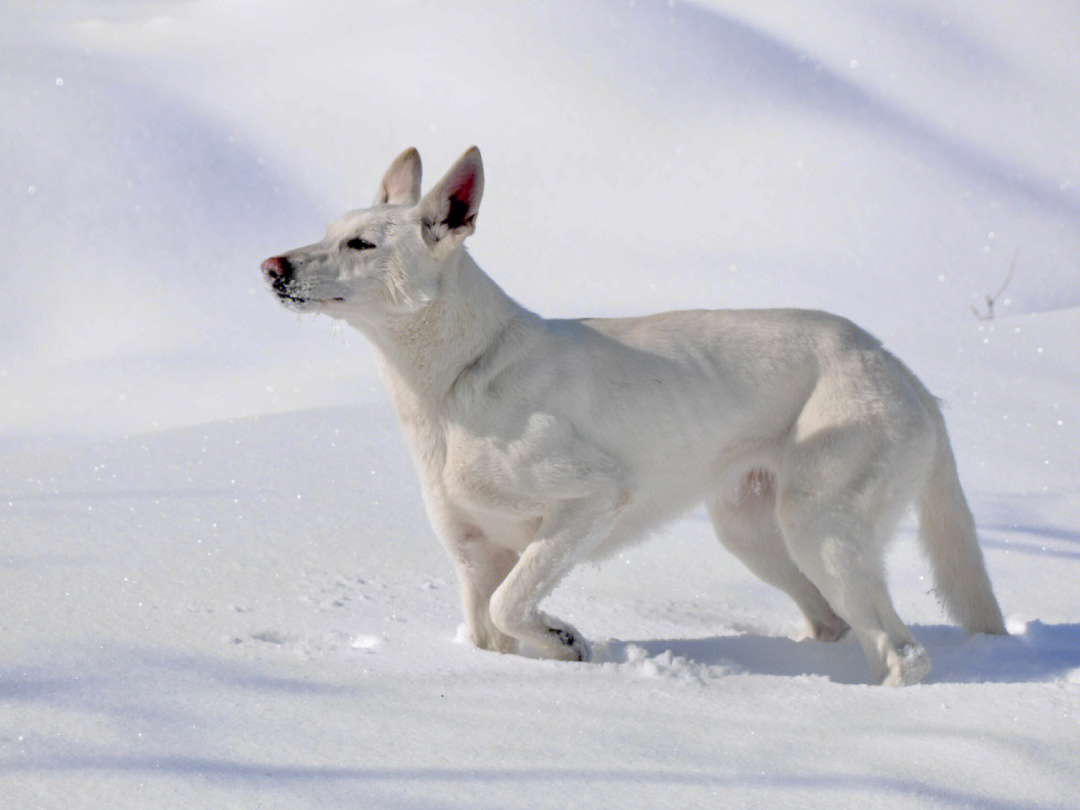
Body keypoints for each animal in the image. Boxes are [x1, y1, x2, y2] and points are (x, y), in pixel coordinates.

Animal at [259, 145, 1002, 686]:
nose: (271, 265)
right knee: (836, 626)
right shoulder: (476, 552)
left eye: (360, 245)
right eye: (328, 234)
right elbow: (490, 629)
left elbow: (511, 603)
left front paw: (565, 639)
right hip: (756, 536)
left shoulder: (591, 499)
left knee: (904, 654)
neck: (455, 379)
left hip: (820, 529)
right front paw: (551, 650)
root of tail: (899, 368)